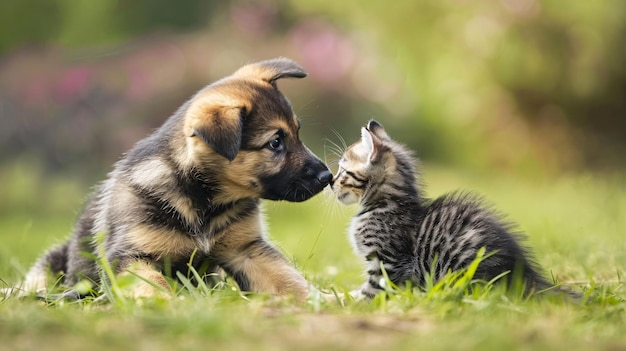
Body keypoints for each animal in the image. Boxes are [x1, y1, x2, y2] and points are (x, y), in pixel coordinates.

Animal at [11, 56, 332, 302]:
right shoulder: (130, 257)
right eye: (275, 143)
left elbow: (289, 279)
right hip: (54, 264)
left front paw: (324, 300)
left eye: (297, 133)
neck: (202, 200)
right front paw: (169, 304)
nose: (328, 176)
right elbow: (154, 284)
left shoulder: (246, 249)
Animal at [332, 120, 576, 300]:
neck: (385, 204)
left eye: (343, 170)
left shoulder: (389, 264)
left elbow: (368, 294)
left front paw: (339, 300)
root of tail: (526, 276)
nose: (331, 183)